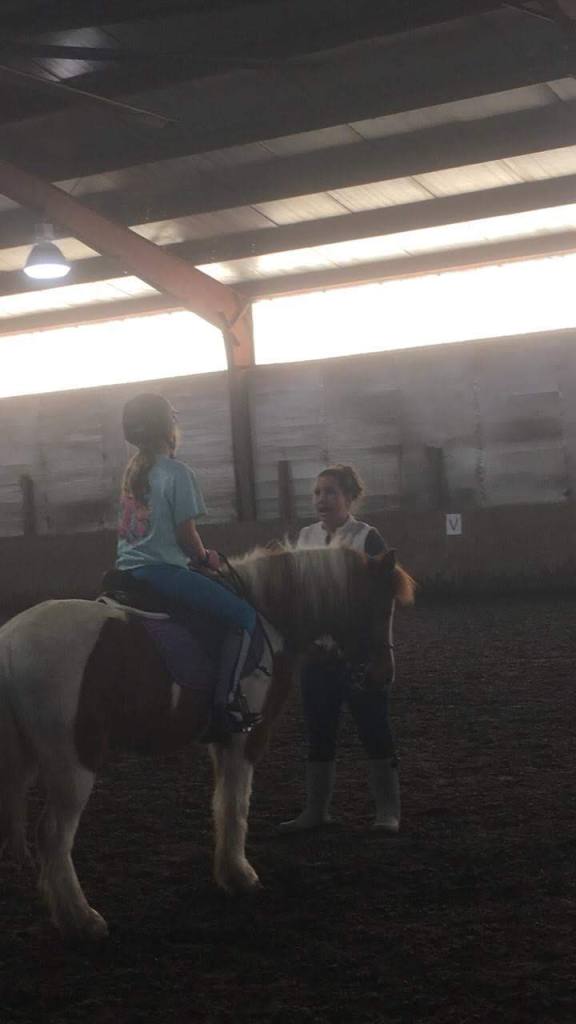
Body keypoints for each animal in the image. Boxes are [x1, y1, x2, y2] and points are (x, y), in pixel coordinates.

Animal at [0, 543, 414, 940]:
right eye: (381, 606)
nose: (383, 675)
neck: (269, 618)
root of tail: (10, 641)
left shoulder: (223, 740)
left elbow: (221, 804)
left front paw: (229, 872)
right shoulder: (248, 736)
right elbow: (236, 805)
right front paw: (241, 877)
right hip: (74, 761)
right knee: (54, 836)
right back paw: (82, 919)